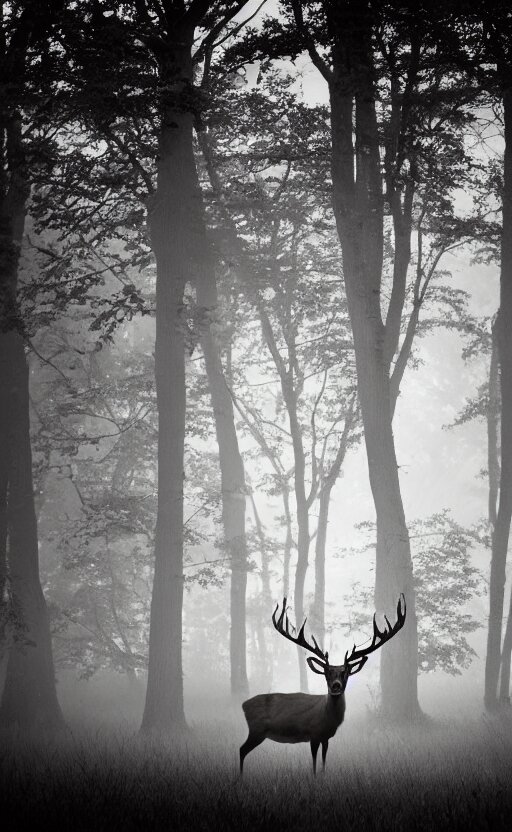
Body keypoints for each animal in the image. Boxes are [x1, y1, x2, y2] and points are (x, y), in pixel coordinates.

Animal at [239, 592, 404, 772]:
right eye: (327, 672)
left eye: (345, 672)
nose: (336, 686)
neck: (327, 718)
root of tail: (243, 705)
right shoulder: (314, 733)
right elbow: (314, 762)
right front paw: (314, 776)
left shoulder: (326, 737)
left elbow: (324, 761)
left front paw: (324, 775)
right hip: (257, 730)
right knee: (241, 749)